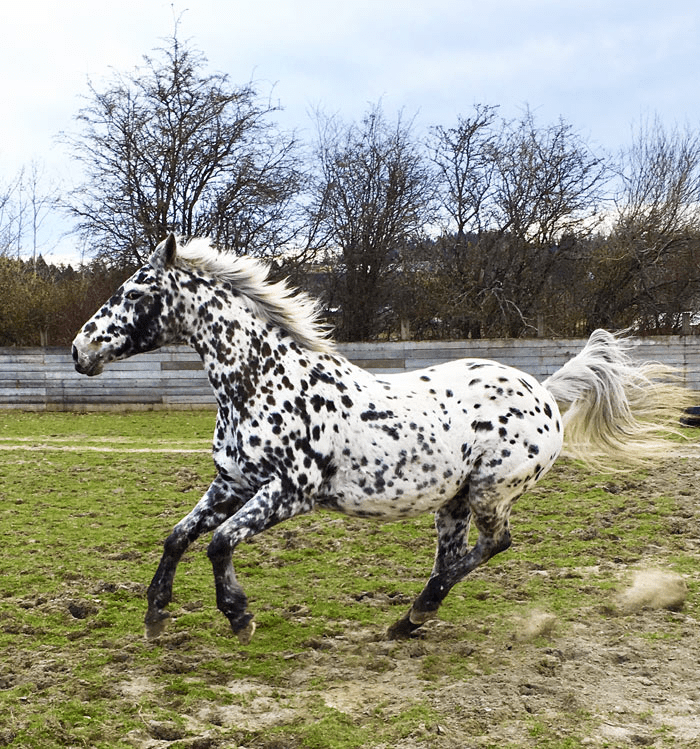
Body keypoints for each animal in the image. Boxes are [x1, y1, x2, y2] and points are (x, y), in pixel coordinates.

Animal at [72, 234, 688, 644]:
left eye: (135, 293)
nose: (81, 350)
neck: (262, 381)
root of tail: (543, 389)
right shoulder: (233, 483)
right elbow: (178, 537)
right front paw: (156, 617)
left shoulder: (290, 492)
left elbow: (219, 542)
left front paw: (239, 617)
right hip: (452, 501)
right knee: (458, 554)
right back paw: (408, 619)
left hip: (489, 492)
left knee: (491, 546)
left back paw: (418, 611)